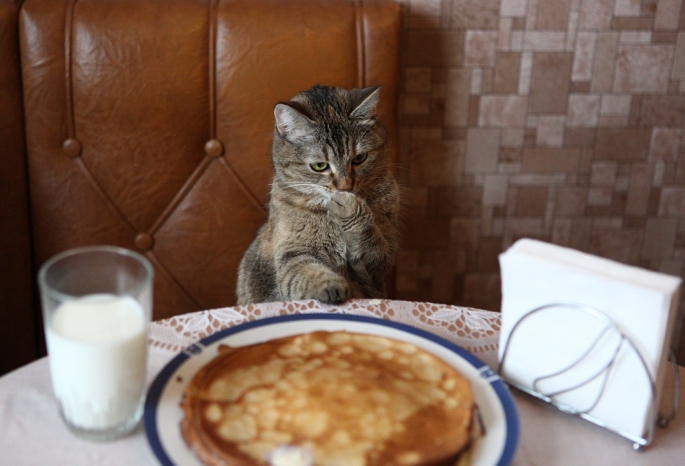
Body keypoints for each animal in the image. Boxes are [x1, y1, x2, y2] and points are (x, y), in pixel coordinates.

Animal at [235, 84, 398, 306]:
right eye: (319, 166)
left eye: (359, 158)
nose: (345, 186)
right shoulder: (293, 253)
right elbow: (307, 273)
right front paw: (329, 286)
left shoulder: (379, 267)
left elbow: (368, 241)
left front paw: (350, 208)